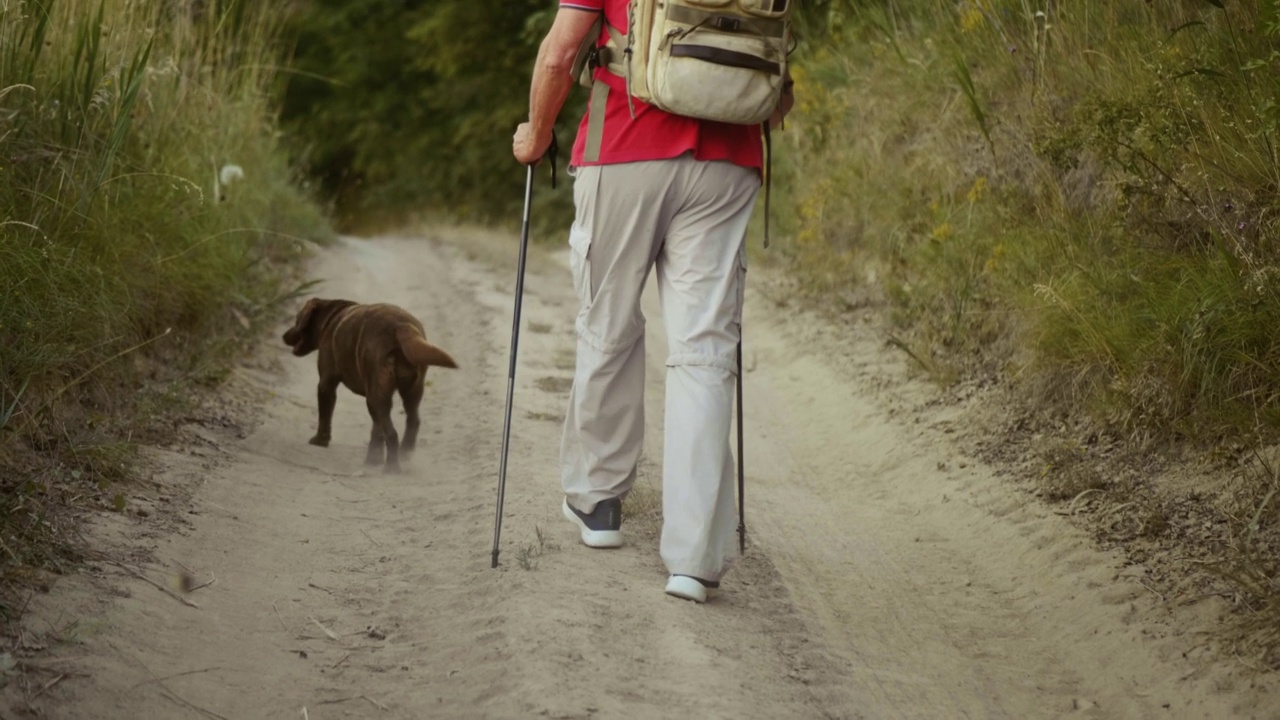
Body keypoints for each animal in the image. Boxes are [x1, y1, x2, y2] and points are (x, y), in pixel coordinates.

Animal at [285, 297, 460, 471]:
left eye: (297, 319)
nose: (284, 336)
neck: (332, 316)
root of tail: (400, 326)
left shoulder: (326, 384)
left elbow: (325, 416)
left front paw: (320, 440)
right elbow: (376, 431)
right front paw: (376, 456)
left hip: (376, 398)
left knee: (392, 434)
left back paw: (391, 468)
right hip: (409, 392)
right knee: (412, 422)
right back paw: (399, 454)